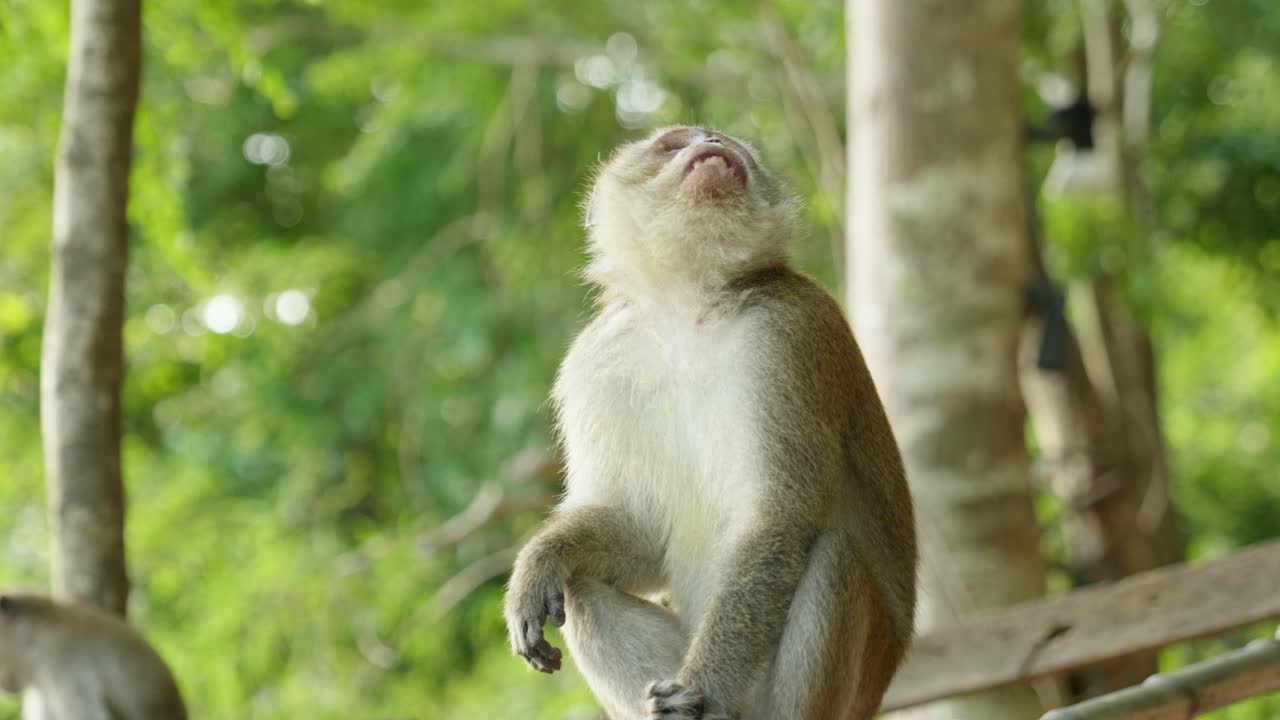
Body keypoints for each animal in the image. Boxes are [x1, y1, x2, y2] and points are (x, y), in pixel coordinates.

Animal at [503, 126, 917, 720]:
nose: (714, 141)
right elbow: (641, 534)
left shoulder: (789, 332)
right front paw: (541, 562)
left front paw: (706, 685)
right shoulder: (593, 364)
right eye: (673, 143)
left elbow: (776, 521)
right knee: (579, 592)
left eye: (732, 145)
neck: (688, 306)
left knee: (833, 556)